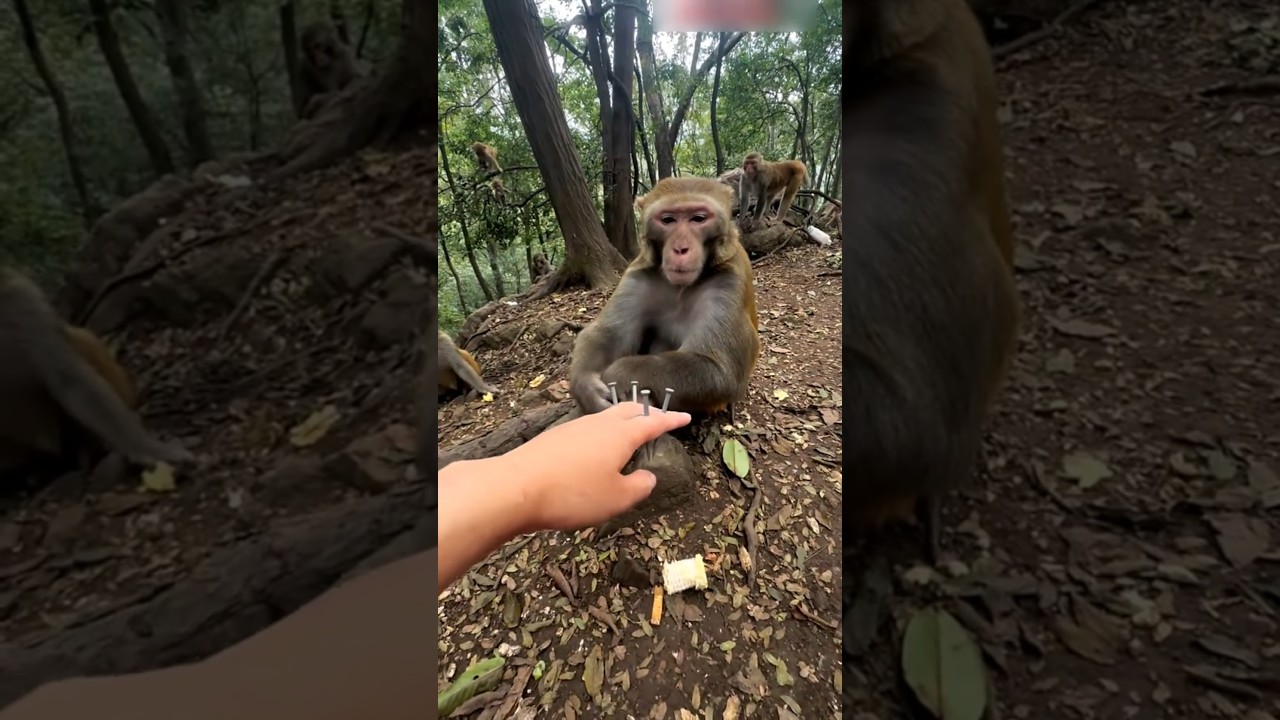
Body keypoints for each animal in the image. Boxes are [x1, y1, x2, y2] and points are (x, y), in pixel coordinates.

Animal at [569, 176, 760, 418]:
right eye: (668, 220)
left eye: (698, 219)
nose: (680, 248)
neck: (681, 287)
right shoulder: (638, 275)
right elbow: (607, 335)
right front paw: (586, 386)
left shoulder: (728, 282)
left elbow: (718, 371)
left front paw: (619, 373)